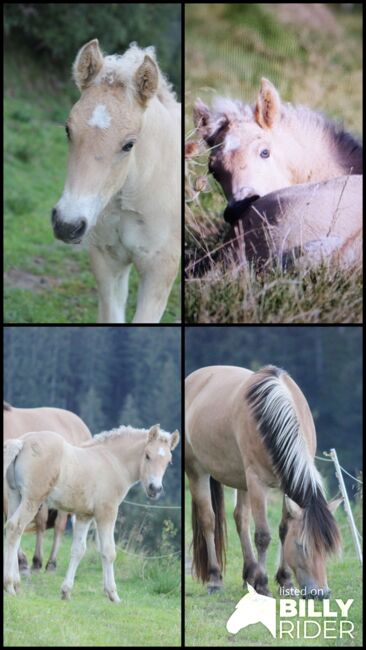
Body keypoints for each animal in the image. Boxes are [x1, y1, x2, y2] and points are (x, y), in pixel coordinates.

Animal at [3, 422, 179, 600]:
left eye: (169, 461)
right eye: (148, 455)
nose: (155, 489)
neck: (113, 461)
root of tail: (22, 442)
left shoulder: (84, 515)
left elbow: (78, 550)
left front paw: (66, 592)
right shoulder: (107, 512)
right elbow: (109, 551)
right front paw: (113, 595)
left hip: (15, 496)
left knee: (13, 530)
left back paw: (17, 584)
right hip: (32, 499)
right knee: (15, 528)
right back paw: (9, 585)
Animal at [186, 364, 344, 596]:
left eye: (326, 547)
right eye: (301, 545)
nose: (321, 593)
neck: (269, 417)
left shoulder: (284, 486)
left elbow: (283, 529)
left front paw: (285, 580)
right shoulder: (257, 483)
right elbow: (263, 535)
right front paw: (262, 584)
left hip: (241, 480)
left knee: (241, 519)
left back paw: (248, 575)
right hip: (198, 471)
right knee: (208, 520)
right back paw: (216, 579)